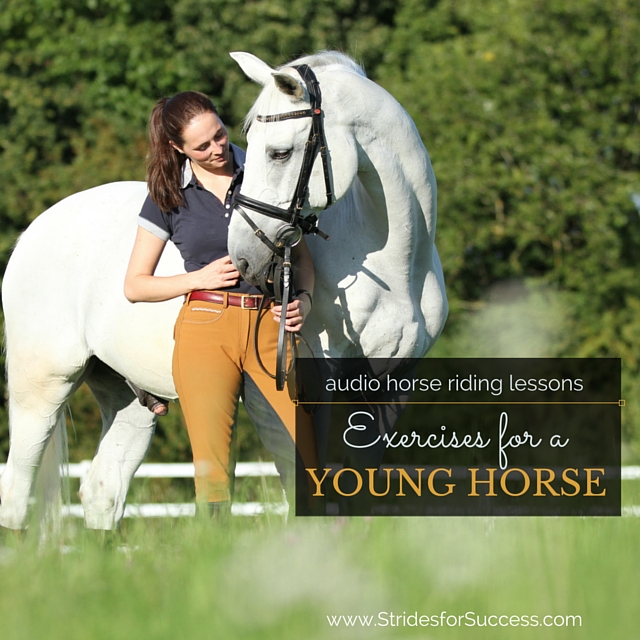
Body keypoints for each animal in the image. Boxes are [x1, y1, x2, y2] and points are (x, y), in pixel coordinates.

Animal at [0, 51, 447, 531]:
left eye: (279, 152)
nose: (243, 255)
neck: (394, 265)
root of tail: (34, 231)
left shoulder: (391, 384)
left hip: (127, 395)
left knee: (103, 490)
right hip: (42, 387)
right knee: (16, 490)